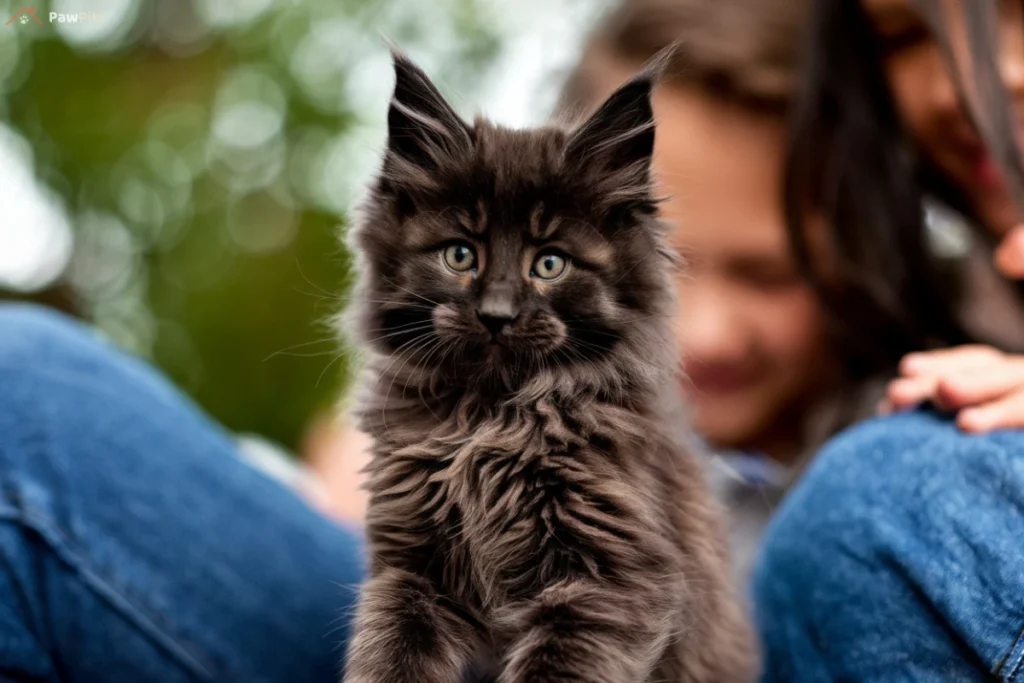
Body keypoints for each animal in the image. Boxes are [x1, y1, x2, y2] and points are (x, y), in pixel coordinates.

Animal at [339, 49, 757, 683]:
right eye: (460, 255)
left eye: (550, 264)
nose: (496, 314)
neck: (487, 418)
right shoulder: (412, 568)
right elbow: (391, 658)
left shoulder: (611, 581)